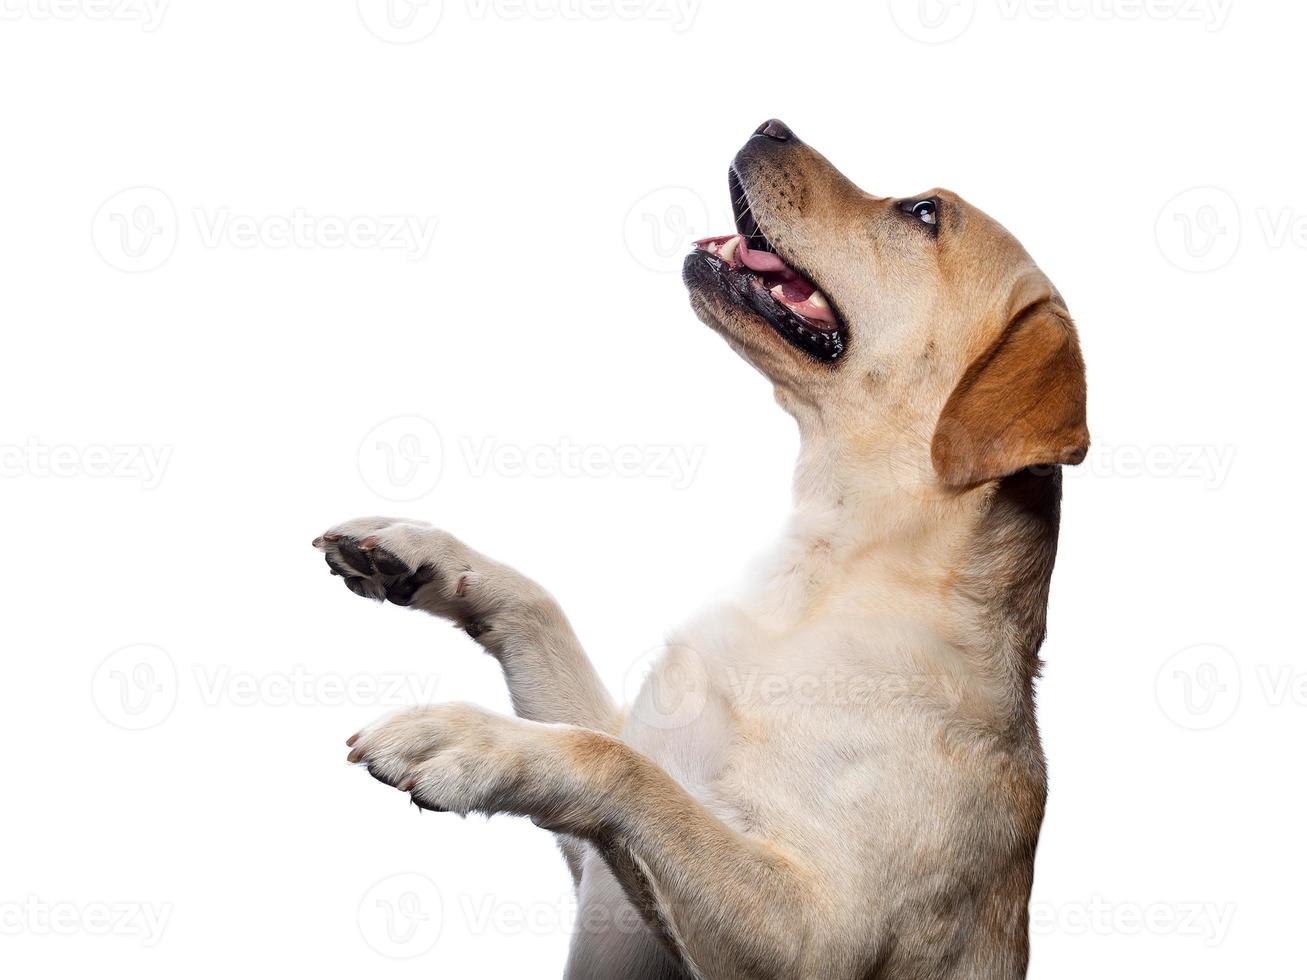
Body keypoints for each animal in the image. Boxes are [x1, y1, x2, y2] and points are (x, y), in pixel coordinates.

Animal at [318, 118, 1092, 977]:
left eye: (924, 213)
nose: (769, 124)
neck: (820, 572)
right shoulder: (605, 862)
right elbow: (543, 618)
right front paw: (415, 553)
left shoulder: (815, 937)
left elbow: (614, 763)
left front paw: (466, 739)